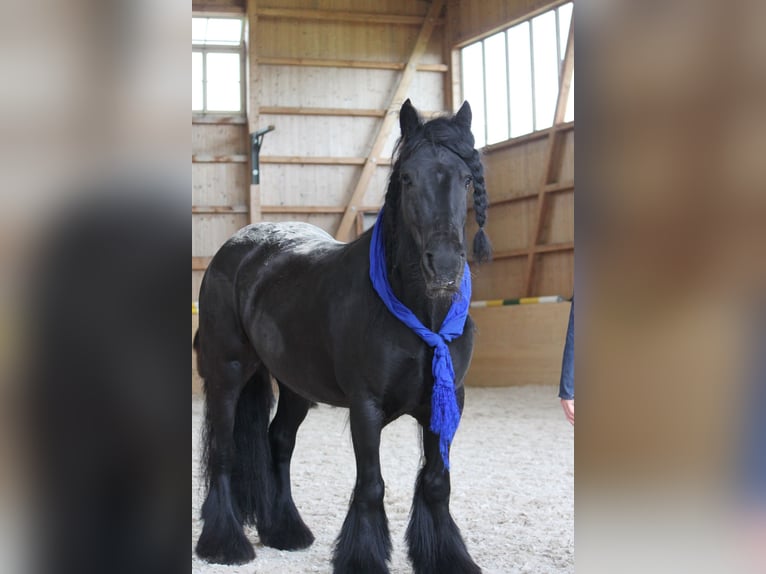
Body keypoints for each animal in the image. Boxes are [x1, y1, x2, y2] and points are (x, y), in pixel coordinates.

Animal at [195, 100, 488, 574]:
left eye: (466, 178)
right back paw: (225, 544)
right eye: (408, 179)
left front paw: (446, 557)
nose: (444, 266)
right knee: (224, 452)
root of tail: (238, 247)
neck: (420, 316)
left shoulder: (448, 401)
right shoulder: (365, 407)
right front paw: (362, 558)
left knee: (279, 443)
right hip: (228, 373)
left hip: (296, 386)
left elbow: (435, 482)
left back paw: (285, 531)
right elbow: (371, 485)